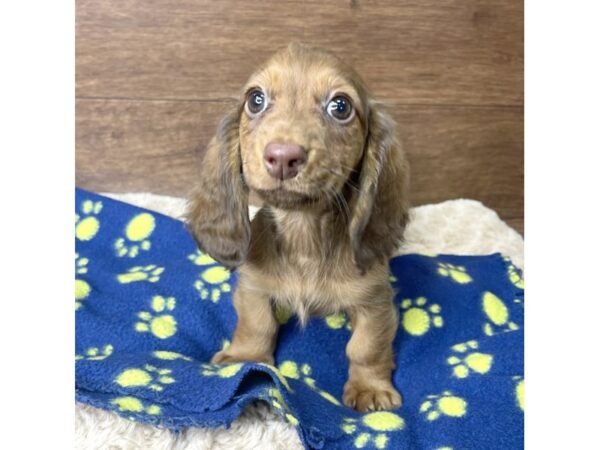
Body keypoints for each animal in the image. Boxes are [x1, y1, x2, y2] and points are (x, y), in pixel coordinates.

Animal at [188, 43, 410, 412]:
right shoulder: (254, 287)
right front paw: (244, 358)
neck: (304, 234)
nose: (282, 156)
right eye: (256, 100)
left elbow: (366, 347)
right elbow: (257, 325)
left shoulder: (376, 301)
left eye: (340, 106)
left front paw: (370, 388)